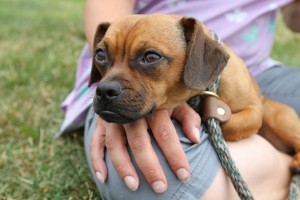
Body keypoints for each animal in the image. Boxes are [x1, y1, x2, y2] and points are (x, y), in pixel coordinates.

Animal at [90, 14, 300, 173]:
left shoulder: (254, 110)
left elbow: (231, 125)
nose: (104, 90)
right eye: (100, 55)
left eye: (151, 57)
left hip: (278, 119)